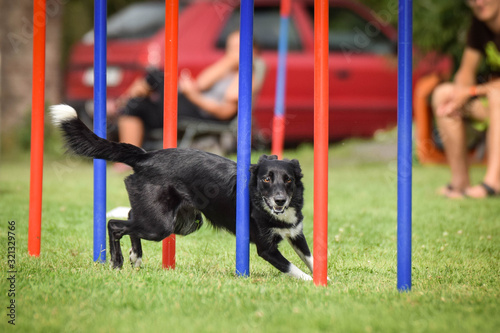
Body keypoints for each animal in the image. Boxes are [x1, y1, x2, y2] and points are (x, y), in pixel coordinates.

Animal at [52, 104, 314, 280]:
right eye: (266, 179)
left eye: (288, 180)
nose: (279, 200)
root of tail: (145, 156)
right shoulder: (266, 249)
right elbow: (295, 269)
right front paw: (313, 285)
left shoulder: (296, 235)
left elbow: (311, 259)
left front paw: (321, 280)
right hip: (161, 226)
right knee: (114, 224)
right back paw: (116, 262)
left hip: (180, 221)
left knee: (129, 217)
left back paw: (136, 256)